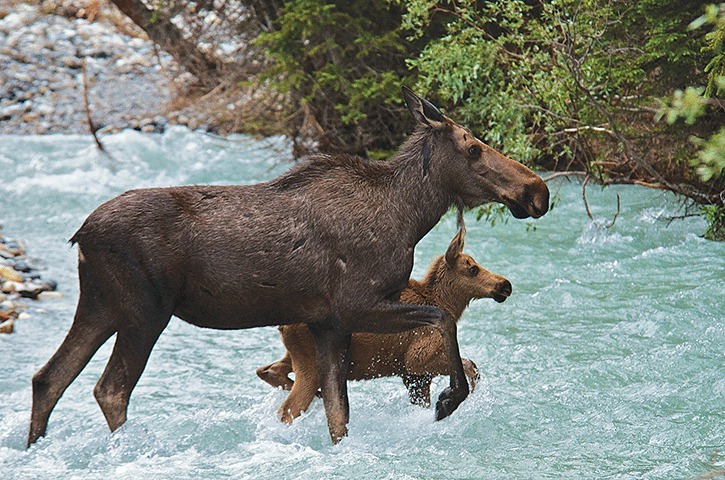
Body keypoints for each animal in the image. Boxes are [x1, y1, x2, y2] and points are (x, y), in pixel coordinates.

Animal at [28, 86, 548, 446]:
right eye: (473, 147)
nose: (537, 191)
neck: (408, 216)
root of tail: (81, 234)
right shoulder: (357, 305)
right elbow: (444, 320)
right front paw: (446, 400)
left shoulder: (328, 323)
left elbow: (338, 416)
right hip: (143, 312)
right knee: (110, 389)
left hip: (101, 305)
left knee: (48, 378)